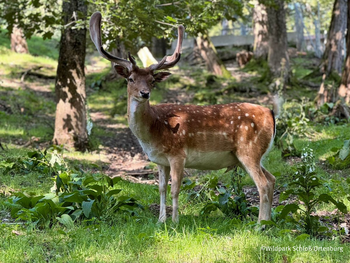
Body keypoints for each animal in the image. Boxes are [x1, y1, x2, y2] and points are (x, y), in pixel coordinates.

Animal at [89, 11, 278, 223]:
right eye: (130, 79)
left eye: (152, 80)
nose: (145, 93)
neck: (153, 130)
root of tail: (271, 113)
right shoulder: (160, 160)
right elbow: (161, 188)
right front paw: (160, 220)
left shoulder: (178, 154)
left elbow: (175, 189)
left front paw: (175, 222)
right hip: (253, 155)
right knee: (272, 179)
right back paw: (268, 222)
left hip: (249, 150)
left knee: (263, 183)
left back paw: (260, 224)